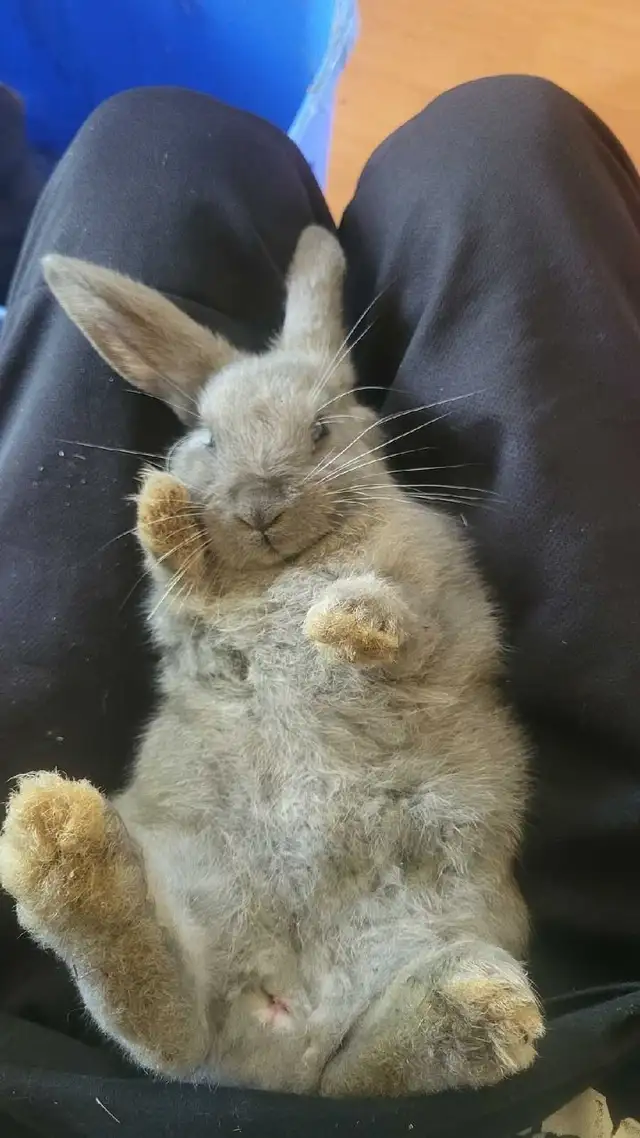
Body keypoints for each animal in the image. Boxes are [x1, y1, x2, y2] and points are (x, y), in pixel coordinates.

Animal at [0, 226, 543, 1097]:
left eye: (321, 429)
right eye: (208, 439)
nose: (259, 507)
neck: (291, 563)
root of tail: (285, 1046)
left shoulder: (449, 610)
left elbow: (405, 624)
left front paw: (345, 617)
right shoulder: (184, 615)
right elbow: (180, 573)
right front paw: (163, 509)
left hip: (448, 935)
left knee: (356, 1074)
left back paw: (481, 1012)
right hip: (195, 902)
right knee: (167, 1025)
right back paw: (65, 845)